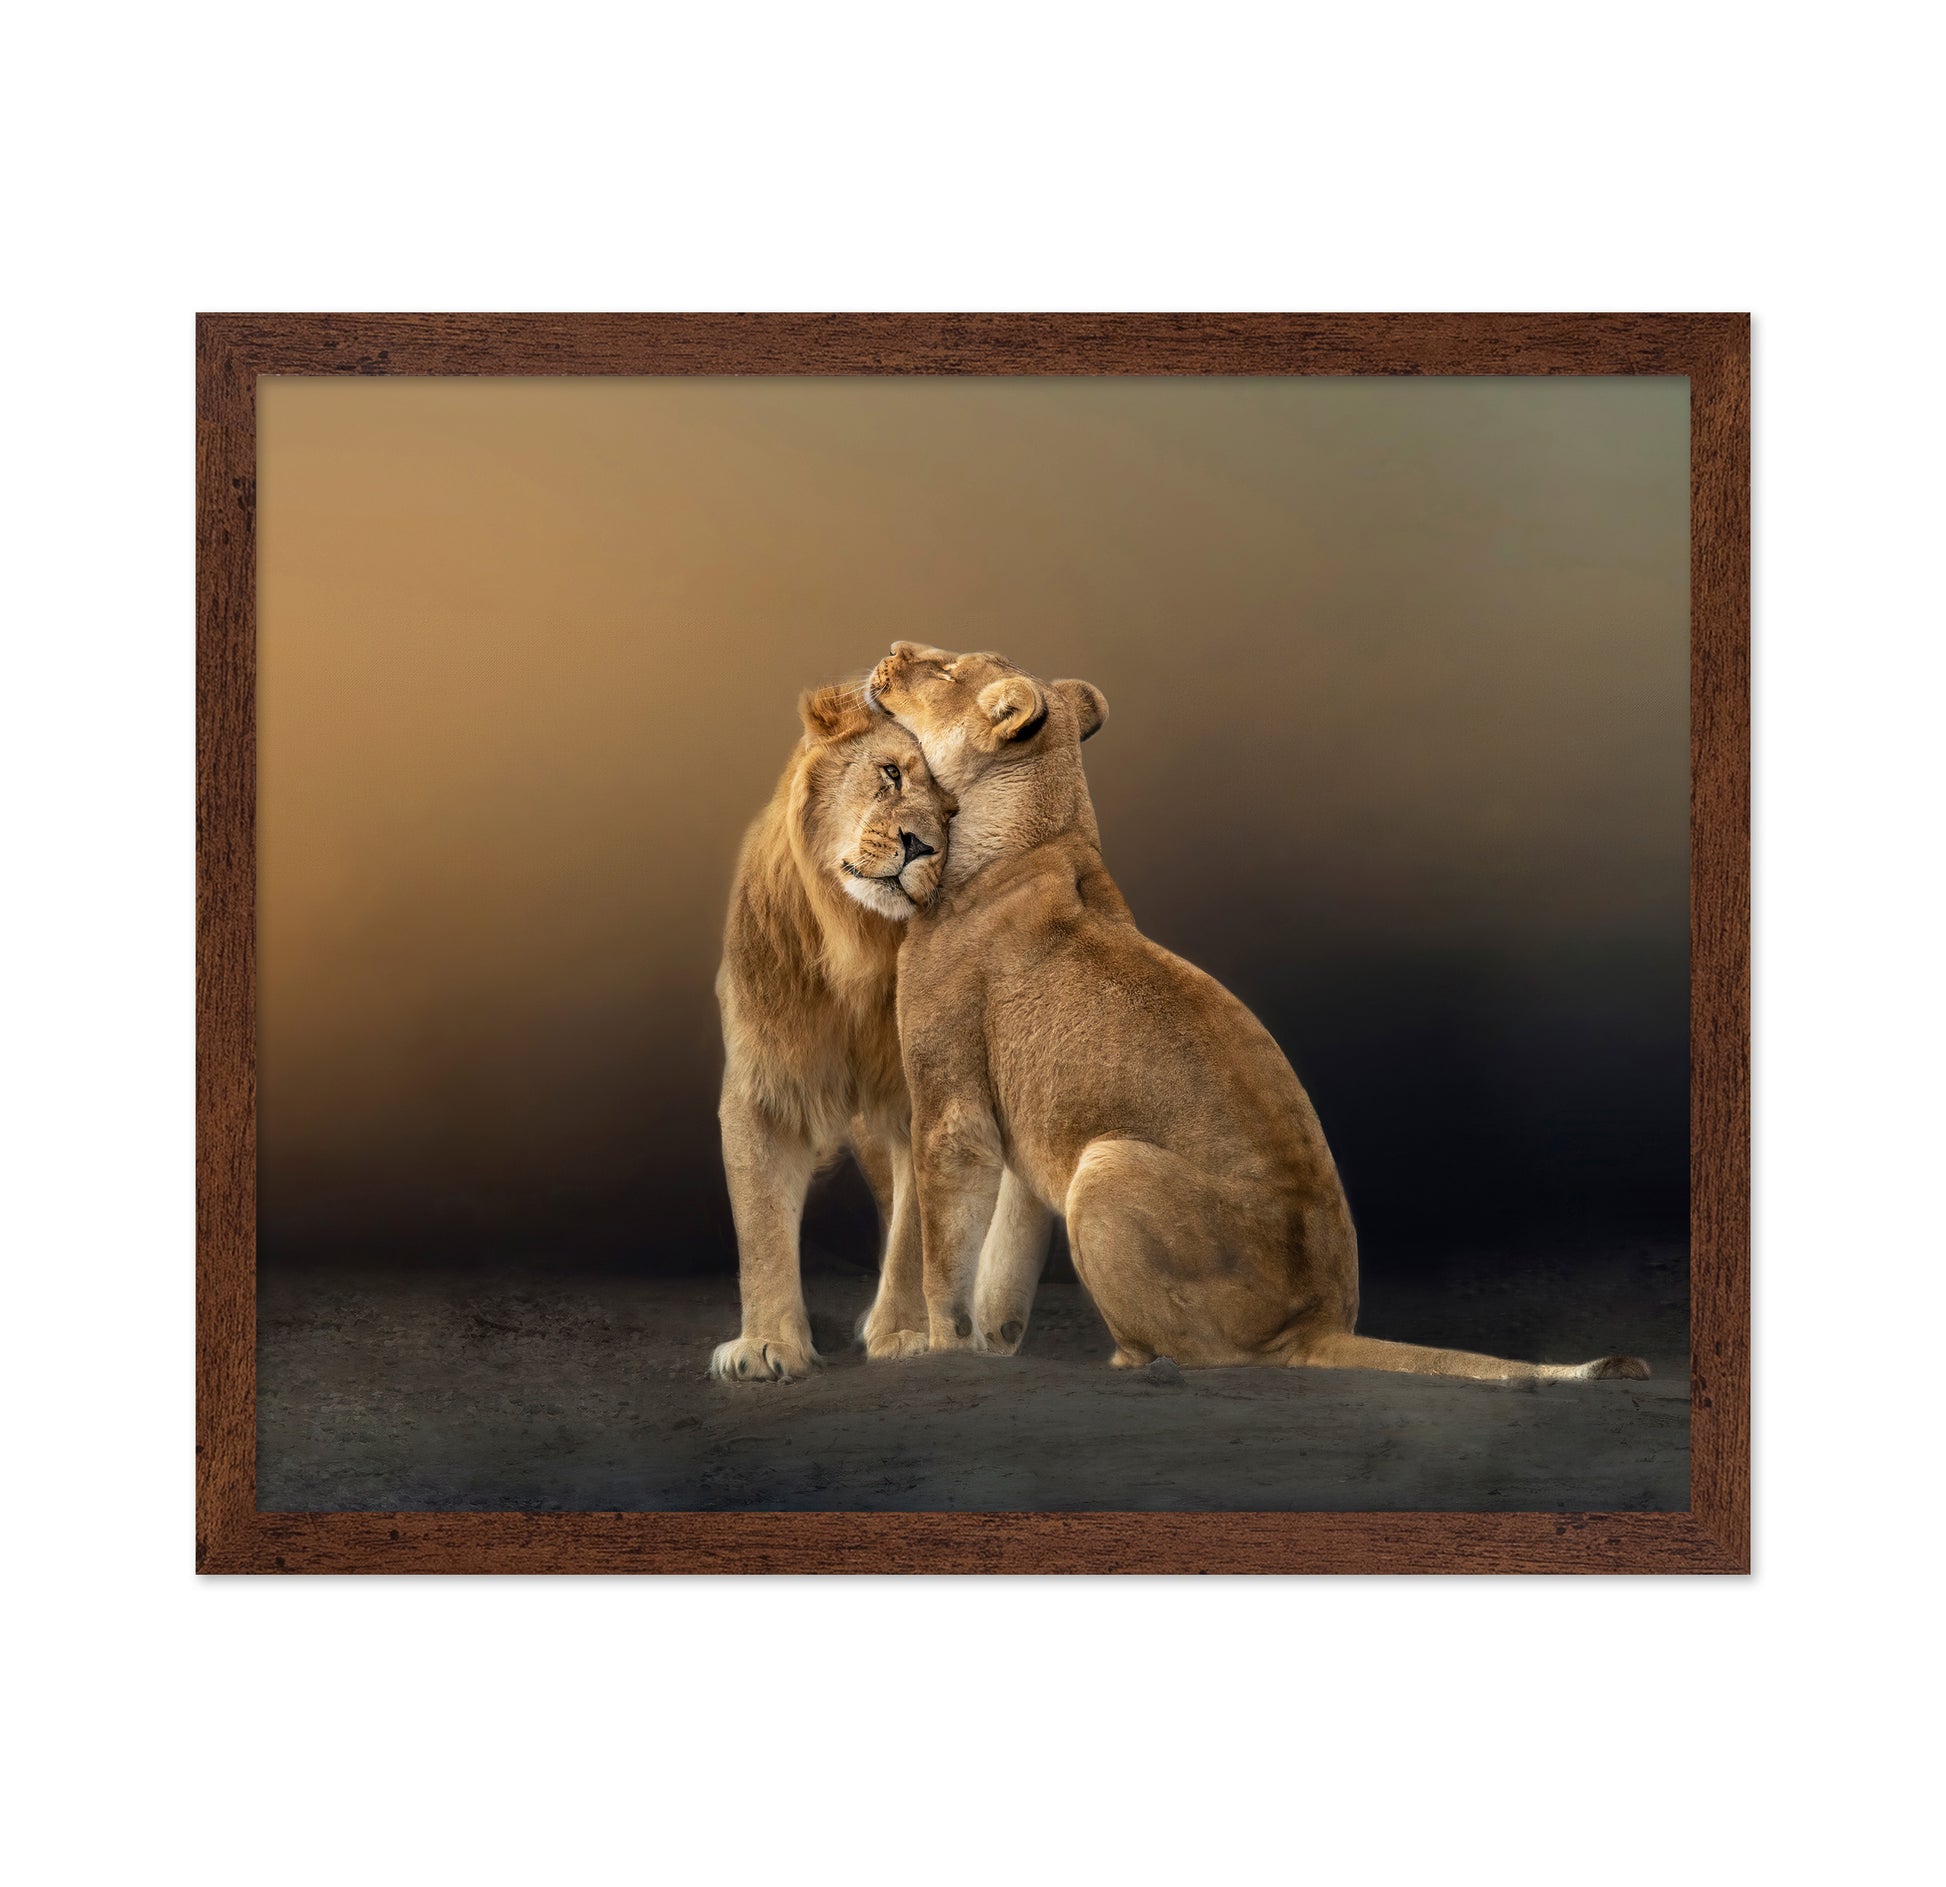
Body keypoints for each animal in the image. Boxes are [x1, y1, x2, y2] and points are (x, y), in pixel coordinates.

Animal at [708, 678, 1053, 1382]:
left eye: (952, 815)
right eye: (891, 773)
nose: (919, 845)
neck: (858, 945)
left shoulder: (932, 1095)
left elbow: (920, 1232)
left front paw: (907, 1333)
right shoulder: (762, 1088)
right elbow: (761, 1226)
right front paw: (766, 1344)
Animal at [867, 641, 1651, 1384]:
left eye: (945, 670)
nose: (896, 648)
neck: (1037, 832)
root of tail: (1317, 1327)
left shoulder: (953, 1110)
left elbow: (946, 1254)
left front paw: (939, 1350)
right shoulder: (1017, 1132)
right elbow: (1005, 1255)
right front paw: (992, 1344)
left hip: (1107, 1163)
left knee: (1193, 1355)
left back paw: (1132, 1361)